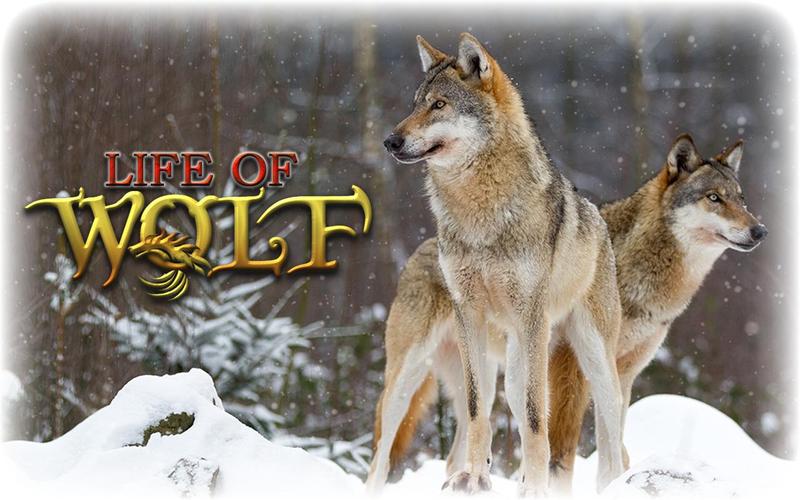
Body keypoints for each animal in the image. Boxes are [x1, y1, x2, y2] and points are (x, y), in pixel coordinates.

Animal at [365, 33, 626, 495]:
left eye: (439, 105)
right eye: (414, 104)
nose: (390, 141)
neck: (479, 214)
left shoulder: (532, 321)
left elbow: (537, 421)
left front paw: (535, 489)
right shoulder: (469, 315)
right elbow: (475, 414)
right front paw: (476, 478)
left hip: (581, 361)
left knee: (608, 444)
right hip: (417, 373)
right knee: (384, 455)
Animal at [367, 133, 767, 495]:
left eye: (741, 199)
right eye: (714, 198)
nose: (760, 230)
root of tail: (424, 249)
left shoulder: (624, 373)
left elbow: (613, 438)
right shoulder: (569, 369)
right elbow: (564, 448)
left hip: (494, 378)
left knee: (460, 447)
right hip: (407, 380)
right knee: (381, 453)